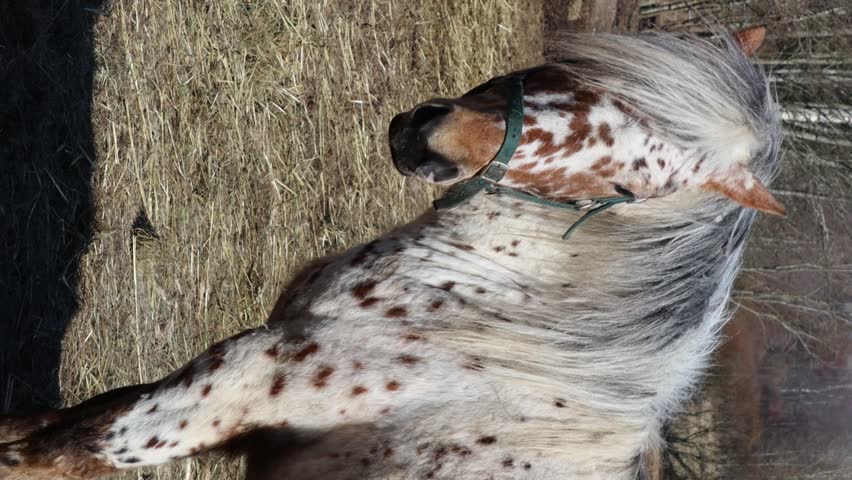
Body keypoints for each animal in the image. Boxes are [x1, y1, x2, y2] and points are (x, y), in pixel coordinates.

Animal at [0, 27, 782, 479]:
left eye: (624, 188)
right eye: (587, 81)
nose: (431, 141)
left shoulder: (233, 385)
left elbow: (75, 446)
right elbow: (73, 419)